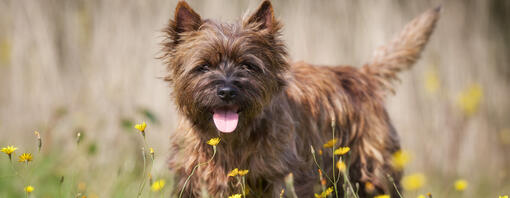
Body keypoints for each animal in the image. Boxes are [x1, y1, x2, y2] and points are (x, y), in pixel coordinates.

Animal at [162, 1, 438, 196]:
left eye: (248, 66)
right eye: (204, 66)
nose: (227, 91)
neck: (231, 141)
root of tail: (363, 74)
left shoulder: (283, 177)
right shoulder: (193, 178)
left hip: (373, 172)